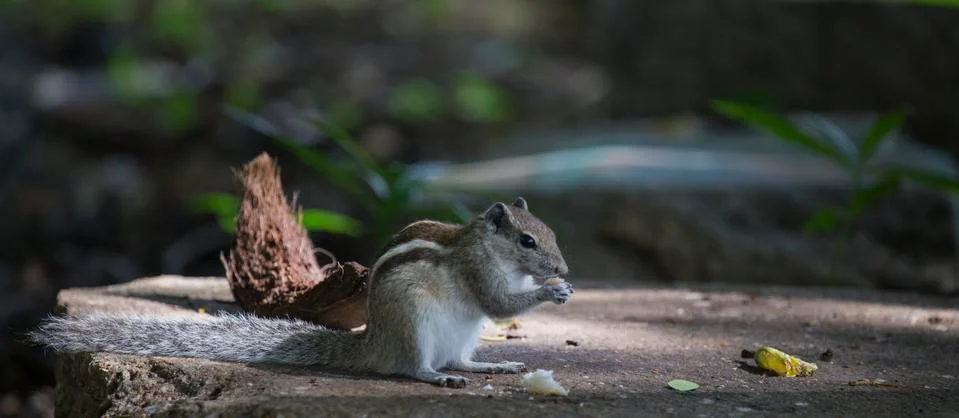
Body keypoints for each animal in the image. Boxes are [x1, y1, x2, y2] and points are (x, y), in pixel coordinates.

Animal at [30, 197, 573, 388]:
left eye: (549, 231)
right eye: (528, 241)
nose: (564, 267)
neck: (489, 246)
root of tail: (373, 342)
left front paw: (559, 285)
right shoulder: (479, 273)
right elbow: (499, 304)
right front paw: (551, 290)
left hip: (462, 334)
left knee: (459, 357)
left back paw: (490, 365)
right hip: (415, 324)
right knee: (412, 367)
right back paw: (436, 377)